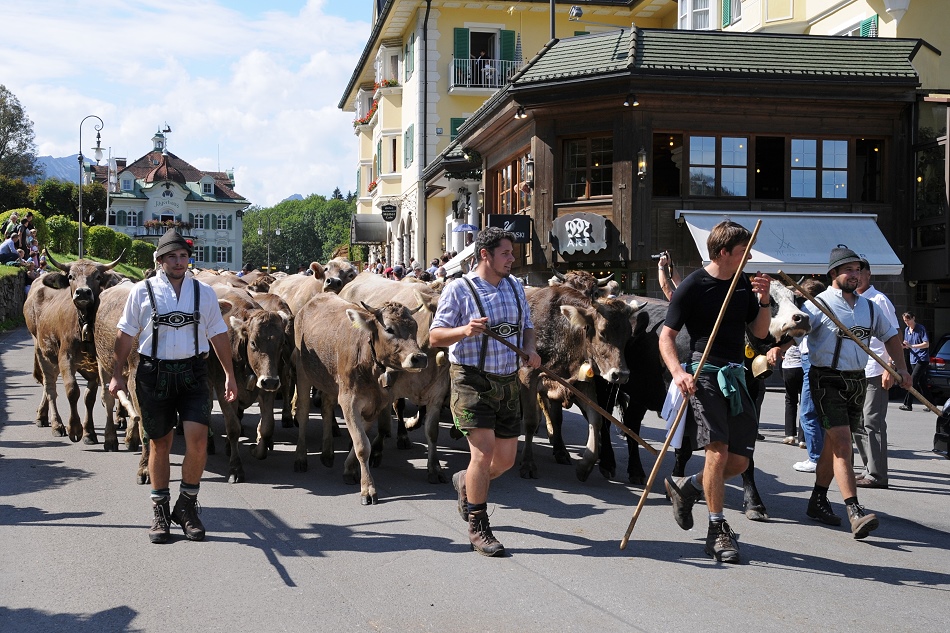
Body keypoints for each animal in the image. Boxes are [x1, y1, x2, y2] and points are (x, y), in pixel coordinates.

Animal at [24, 249, 124, 442]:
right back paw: (56, 424)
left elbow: (89, 398)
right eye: (71, 276)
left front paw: (89, 432)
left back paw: (42, 415)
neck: (84, 324)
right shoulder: (66, 357)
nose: (83, 292)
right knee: (50, 387)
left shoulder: (96, 364)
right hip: (42, 350)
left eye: (98, 276)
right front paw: (75, 428)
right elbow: (72, 390)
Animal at [294, 292, 428, 504]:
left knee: (326, 408)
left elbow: (363, 439)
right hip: (303, 373)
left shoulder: (375, 405)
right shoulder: (349, 401)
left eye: (414, 327)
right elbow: (362, 445)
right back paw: (300, 457)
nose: (419, 357)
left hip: (330, 382)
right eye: (389, 329)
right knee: (303, 413)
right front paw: (368, 489)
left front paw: (350, 470)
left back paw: (327, 452)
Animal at [338, 270, 450, 482]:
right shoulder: (386, 388)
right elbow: (386, 420)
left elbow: (432, 431)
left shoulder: (438, 391)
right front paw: (377, 450)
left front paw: (435, 467)